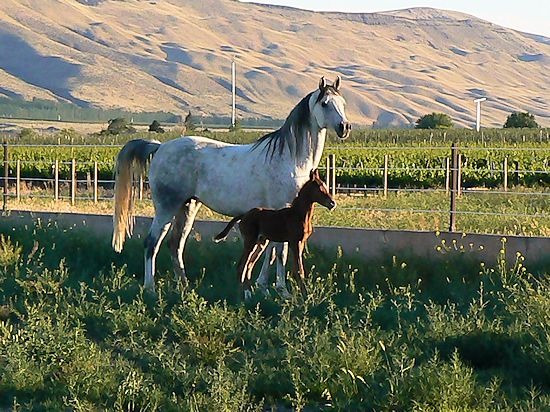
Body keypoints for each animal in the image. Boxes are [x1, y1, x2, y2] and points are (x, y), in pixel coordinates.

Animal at [216, 169, 336, 298]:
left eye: (325, 186)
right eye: (319, 188)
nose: (332, 203)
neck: (298, 214)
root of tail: (244, 215)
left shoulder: (301, 242)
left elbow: (299, 269)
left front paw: (303, 294)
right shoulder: (294, 242)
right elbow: (298, 269)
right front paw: (305, 296)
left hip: (261, 242)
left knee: (249, 265)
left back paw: (253, 294)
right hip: (250, 241)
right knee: (241, 266)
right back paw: (246, 295)